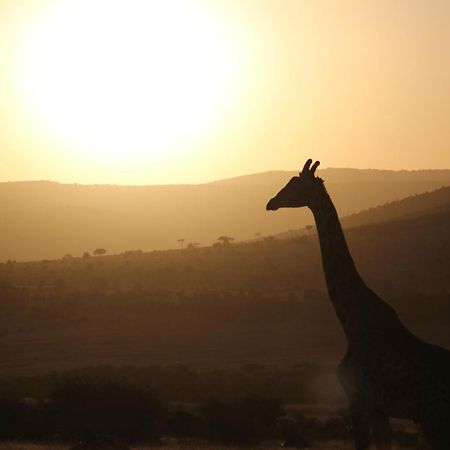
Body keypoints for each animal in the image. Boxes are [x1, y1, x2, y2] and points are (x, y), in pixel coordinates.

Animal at [268, 160, 450, 450]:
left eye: (296, 185)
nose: (271, 202)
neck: (352, 325)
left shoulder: (359, 399)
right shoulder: (379, 408)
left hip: (435, 419)